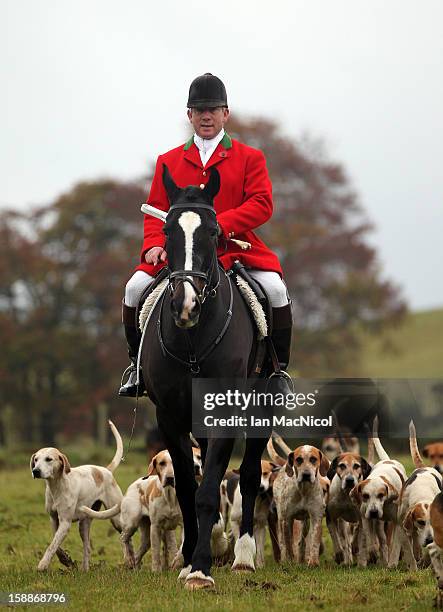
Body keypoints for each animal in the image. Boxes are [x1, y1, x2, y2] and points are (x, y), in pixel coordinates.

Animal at [140, 165, 268, 592]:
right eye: (167, 231)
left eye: (213, 232)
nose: (185, 305)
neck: (193, 339)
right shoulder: (169, 417)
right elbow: (185, 488)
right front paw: (188, 559)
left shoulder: (225, 412)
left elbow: (210, 490)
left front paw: (200, 569)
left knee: (249, 475)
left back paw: (243, 557)